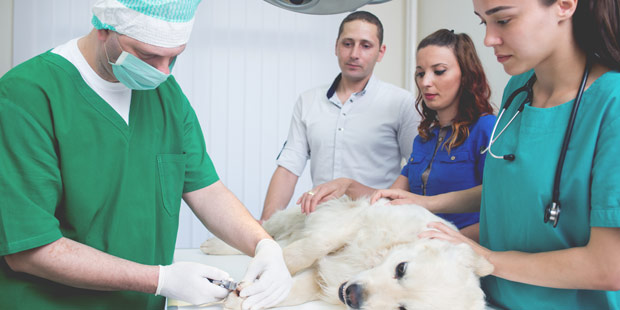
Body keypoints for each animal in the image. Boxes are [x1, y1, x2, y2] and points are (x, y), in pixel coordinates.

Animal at [202, 197, 494, 308]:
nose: (353, 296)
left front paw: (250, 297)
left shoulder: (325, 281)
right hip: (294, 217)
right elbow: (306, 250)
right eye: (401, 268)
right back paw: (213, 245)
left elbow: (291, 290)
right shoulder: (353, 220)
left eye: (402, 309)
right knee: (265, 231)